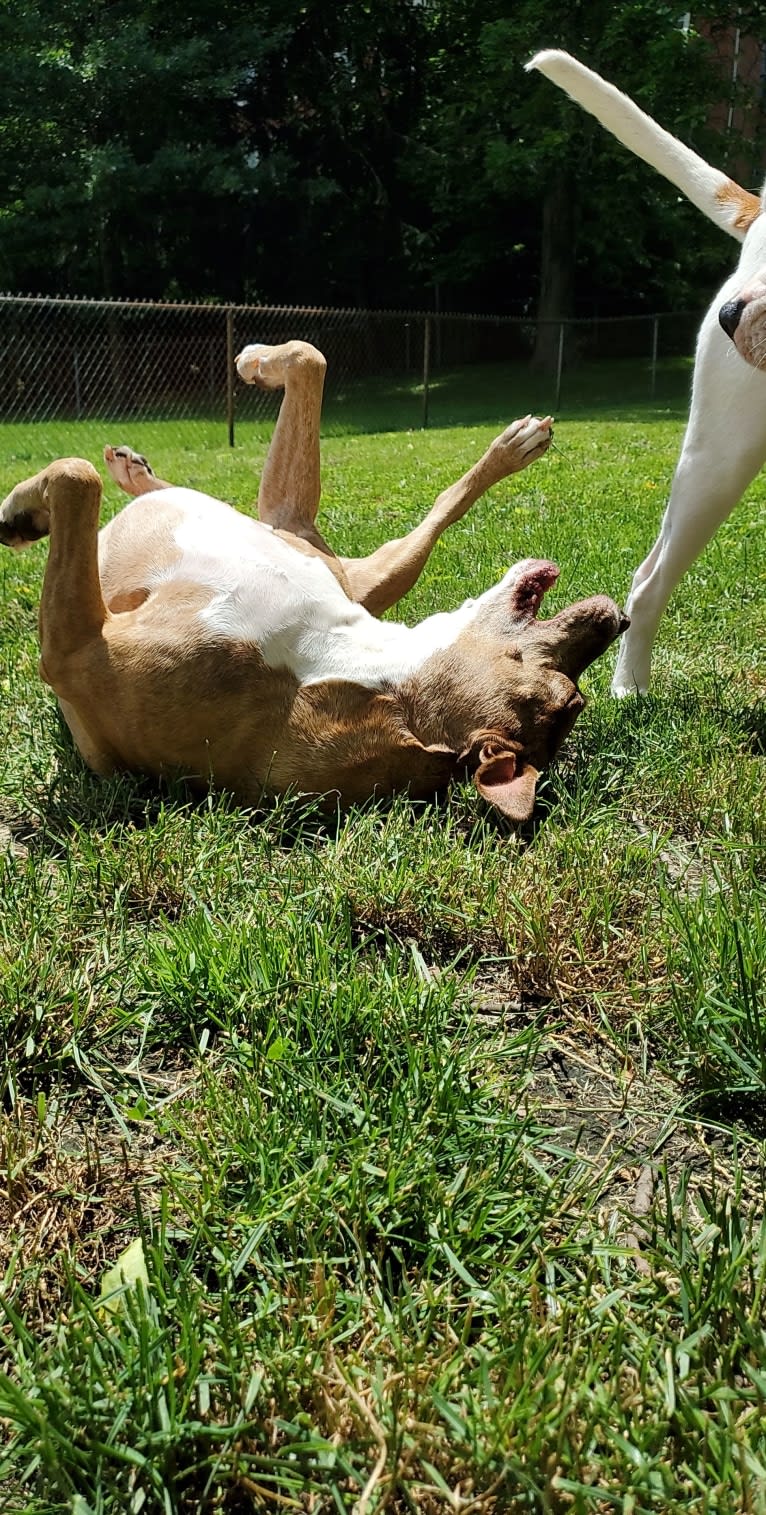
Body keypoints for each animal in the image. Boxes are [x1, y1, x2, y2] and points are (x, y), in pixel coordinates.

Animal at [0, 342, 629, 824]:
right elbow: (310, 358)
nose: (617, 618)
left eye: (568, 698)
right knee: (431, 508)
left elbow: (74, 477)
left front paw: (20, 512)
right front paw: (260, 362)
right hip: (361, 562)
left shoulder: (75, 651)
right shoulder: (288, 522)